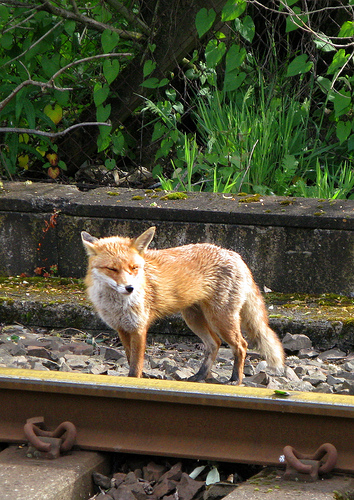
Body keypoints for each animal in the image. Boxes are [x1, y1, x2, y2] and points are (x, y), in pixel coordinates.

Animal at [81, 227, 284, 382]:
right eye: (112, 269)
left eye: (134, 268)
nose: (129, 288)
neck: (116, 305)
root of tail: (236, 255)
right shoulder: (122, 329)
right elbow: (130, 359)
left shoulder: (139, 327)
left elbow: (136, 366)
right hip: (194, 319)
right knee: (215, 343)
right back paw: (200, 376)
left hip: (220, 318)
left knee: (241, 345)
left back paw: (235, 379)